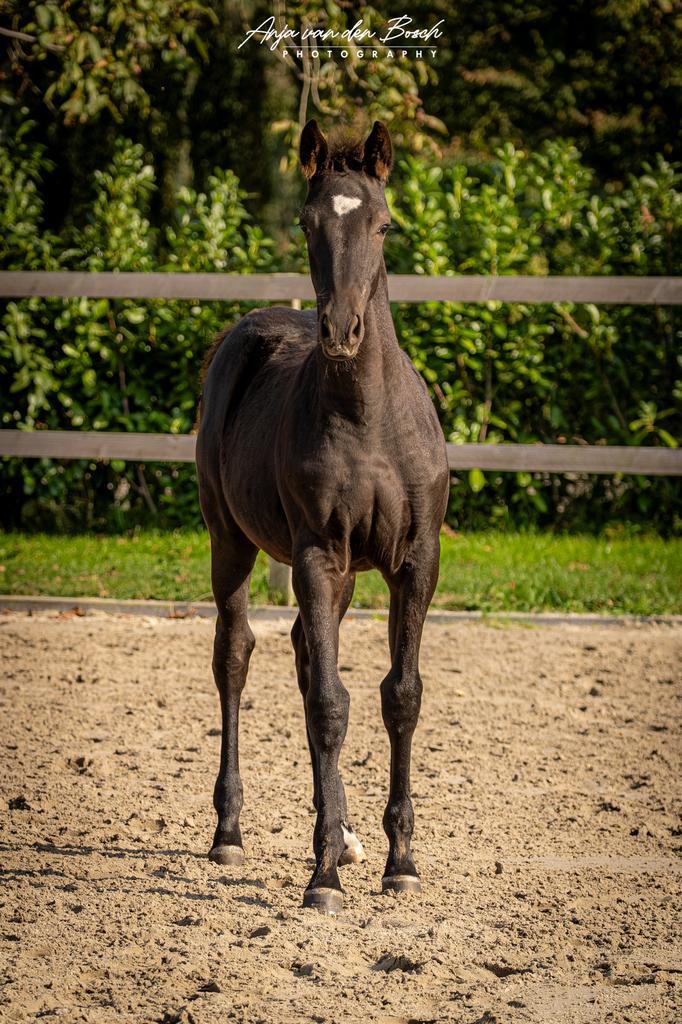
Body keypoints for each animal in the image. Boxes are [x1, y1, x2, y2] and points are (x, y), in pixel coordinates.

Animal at [196, 119, 449, 914]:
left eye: (384, 222)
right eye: (308, 223)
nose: (342, 330)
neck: (368, 418)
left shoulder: (414, 562)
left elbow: (400, 696)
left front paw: (399, 861)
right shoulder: (316, 555)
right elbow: (334, 706)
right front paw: (325, 879)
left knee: (308, 658)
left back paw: (338, 833)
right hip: (231, 543)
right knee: (237, 656)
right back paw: (231, 832)